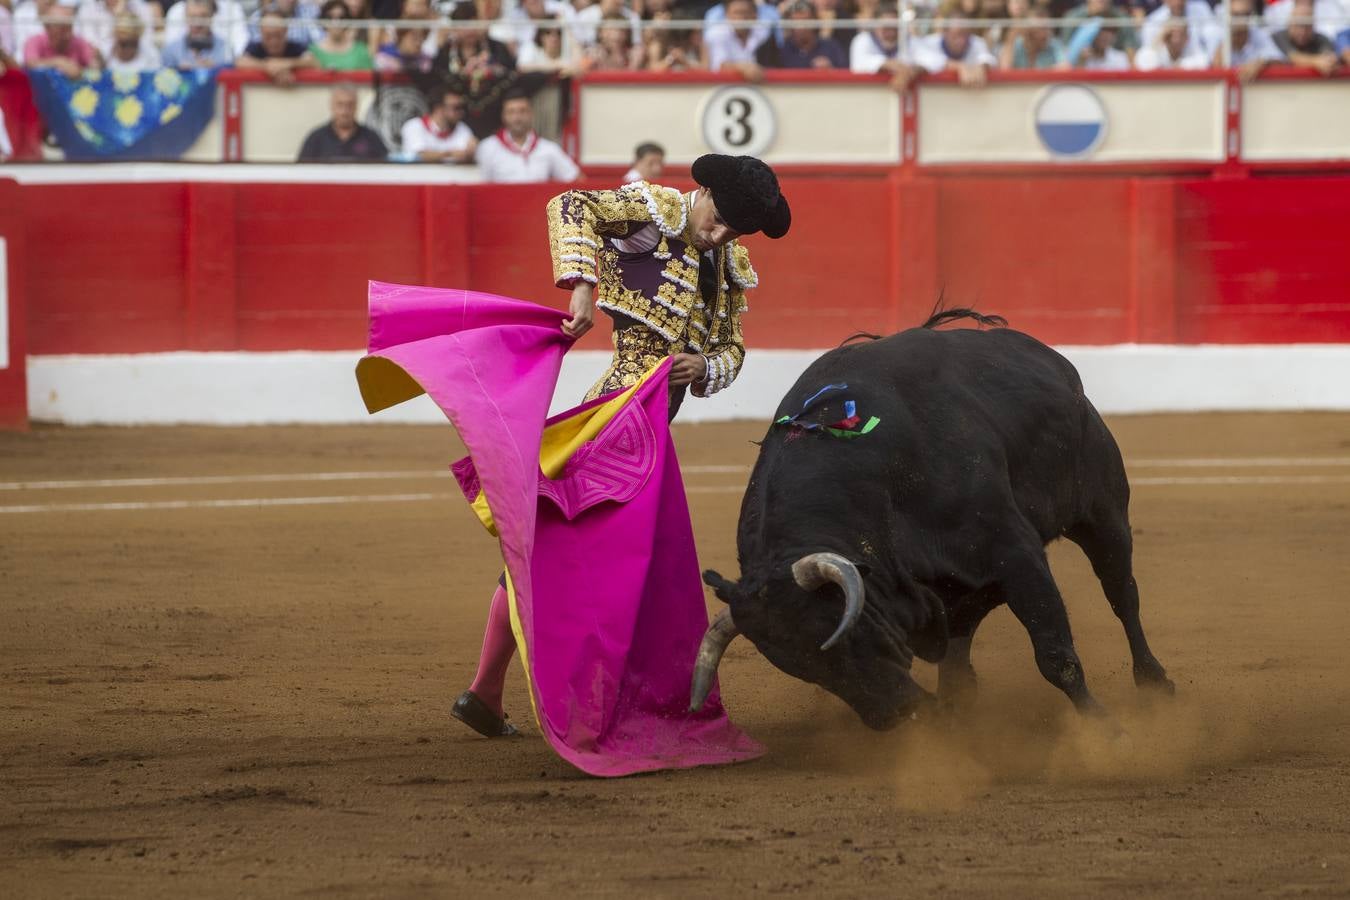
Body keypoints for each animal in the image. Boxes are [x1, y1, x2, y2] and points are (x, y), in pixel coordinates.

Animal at [691, 311, 1177, 734]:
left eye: (843, 635)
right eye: (803, 670)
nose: (892, 715)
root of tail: (1053, 362)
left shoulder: (1015, 552)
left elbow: (1056, 655)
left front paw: (1106, 732)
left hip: (1103, 513)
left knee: (1122, 595)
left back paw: (1155, 683)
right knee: (960, 659)